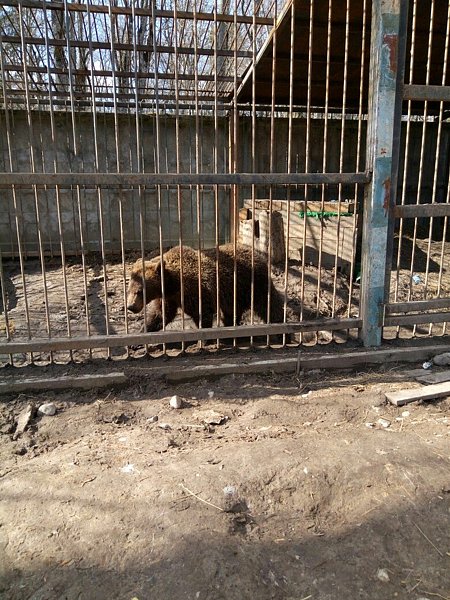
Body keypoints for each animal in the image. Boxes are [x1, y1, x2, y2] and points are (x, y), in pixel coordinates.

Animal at [126, 244, 285, 334]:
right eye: (129, 289)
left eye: (139, 291)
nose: (130, 306)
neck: (172, 284)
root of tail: (259, 256)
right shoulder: (168, 298)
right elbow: (160, 314)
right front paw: (142, 331)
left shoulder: (194, 290)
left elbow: (202, 312)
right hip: (235, 293)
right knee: (231, 311)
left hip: (252, 283)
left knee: (268, 304)